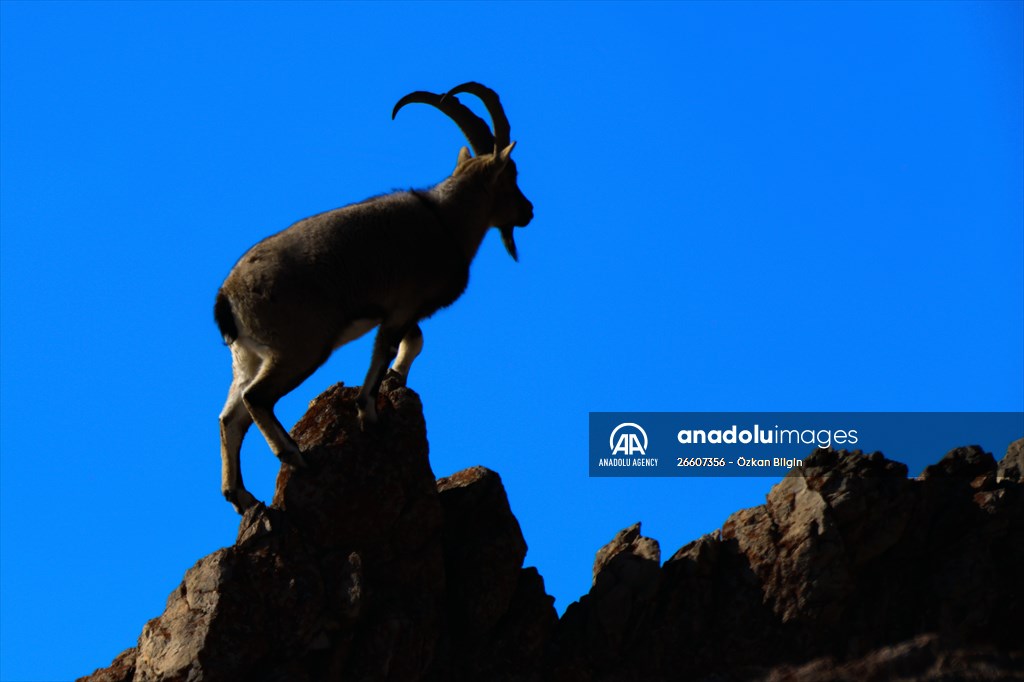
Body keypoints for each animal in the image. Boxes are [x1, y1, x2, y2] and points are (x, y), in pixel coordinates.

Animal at [214, 82, 533, 513]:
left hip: (247, 358)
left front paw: (395, 381)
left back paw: (242, 496)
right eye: (511, 176)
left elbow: (411, 342)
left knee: (229, 417)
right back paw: (294, 456)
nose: (528, 211)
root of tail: (227, 298)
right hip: (300, 349)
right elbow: (386, 350)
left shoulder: (403, 310)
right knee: (256, 398)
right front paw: (369, 413)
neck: (446, 221)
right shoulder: (403, 304)